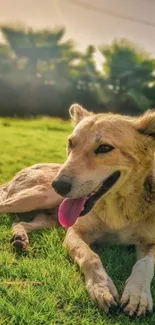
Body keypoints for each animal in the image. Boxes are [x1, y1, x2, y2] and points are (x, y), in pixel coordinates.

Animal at [0, 102, 155, 316]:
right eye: (71, 144)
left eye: (104, 148)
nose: (58, 185)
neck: (118, 209)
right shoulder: (74, 233)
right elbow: (90, 256)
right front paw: (101, 288)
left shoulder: (150, 242)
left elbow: (144, 264)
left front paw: (138, 295)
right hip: (37, 197)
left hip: (51, 217)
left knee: (20, 221)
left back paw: (19, 238)